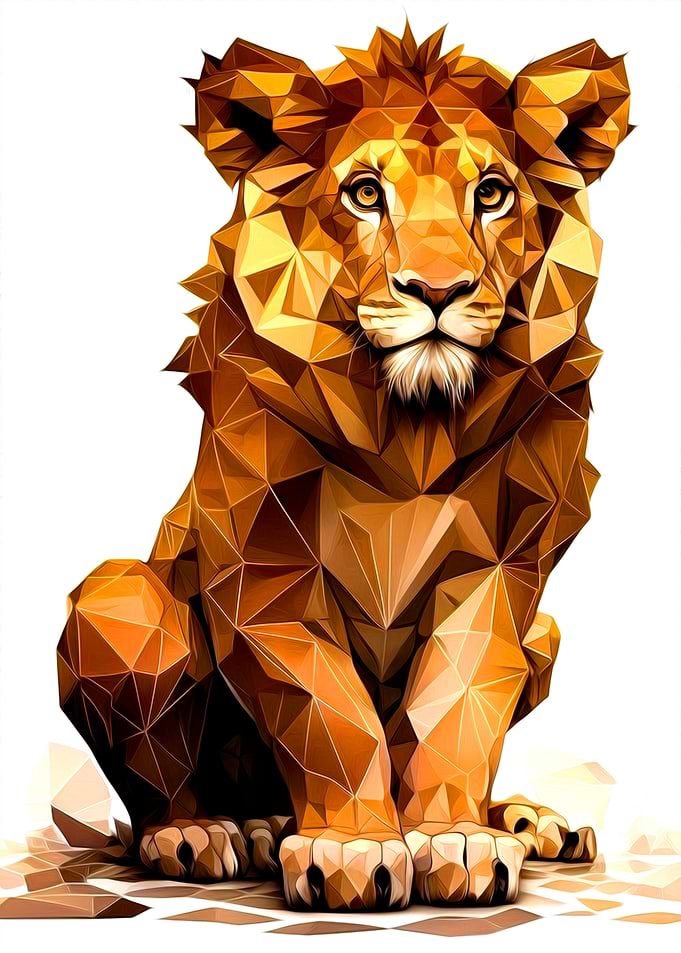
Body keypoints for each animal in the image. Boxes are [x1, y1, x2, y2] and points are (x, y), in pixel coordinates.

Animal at [57, 24, 631, 911]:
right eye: (365, 193)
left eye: (491, 194)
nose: (437, 289)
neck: (411, 430)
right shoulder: (264, 574)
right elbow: (331, 710)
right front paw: (353, 848)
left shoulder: (501, 574)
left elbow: (454, 705)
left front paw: (454, 836)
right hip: (119, 596)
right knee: (169, 781)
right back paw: (211, 831)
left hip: (547, 630)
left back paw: (527, 819)